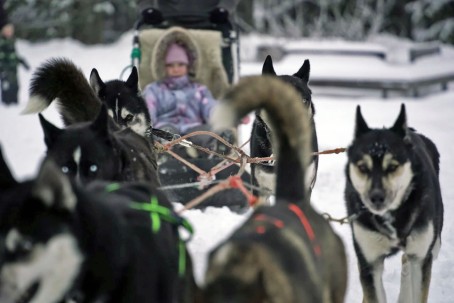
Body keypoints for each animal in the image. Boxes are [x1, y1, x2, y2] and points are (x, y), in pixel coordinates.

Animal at [346, 104, 442, 303]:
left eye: (392, 167)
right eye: (362, 167)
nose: (376, 197)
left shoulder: (421, 257)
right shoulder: (369, 262)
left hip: (432, 243)